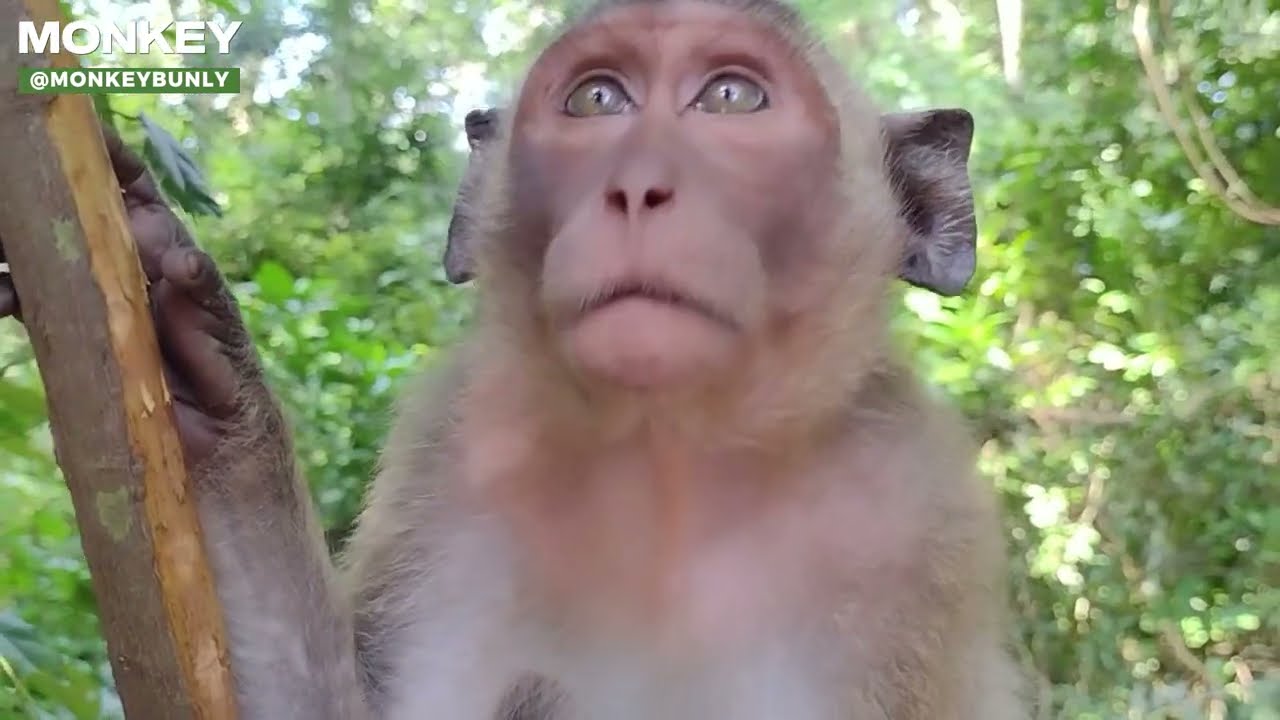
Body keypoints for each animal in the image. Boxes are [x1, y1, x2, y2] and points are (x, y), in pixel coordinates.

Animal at [0, 0, 1029, 717]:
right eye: (597, 99)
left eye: (733, 96)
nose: (636, 186)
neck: (669, 456)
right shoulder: (454, 457)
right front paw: (201, 364)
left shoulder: (909, 517)